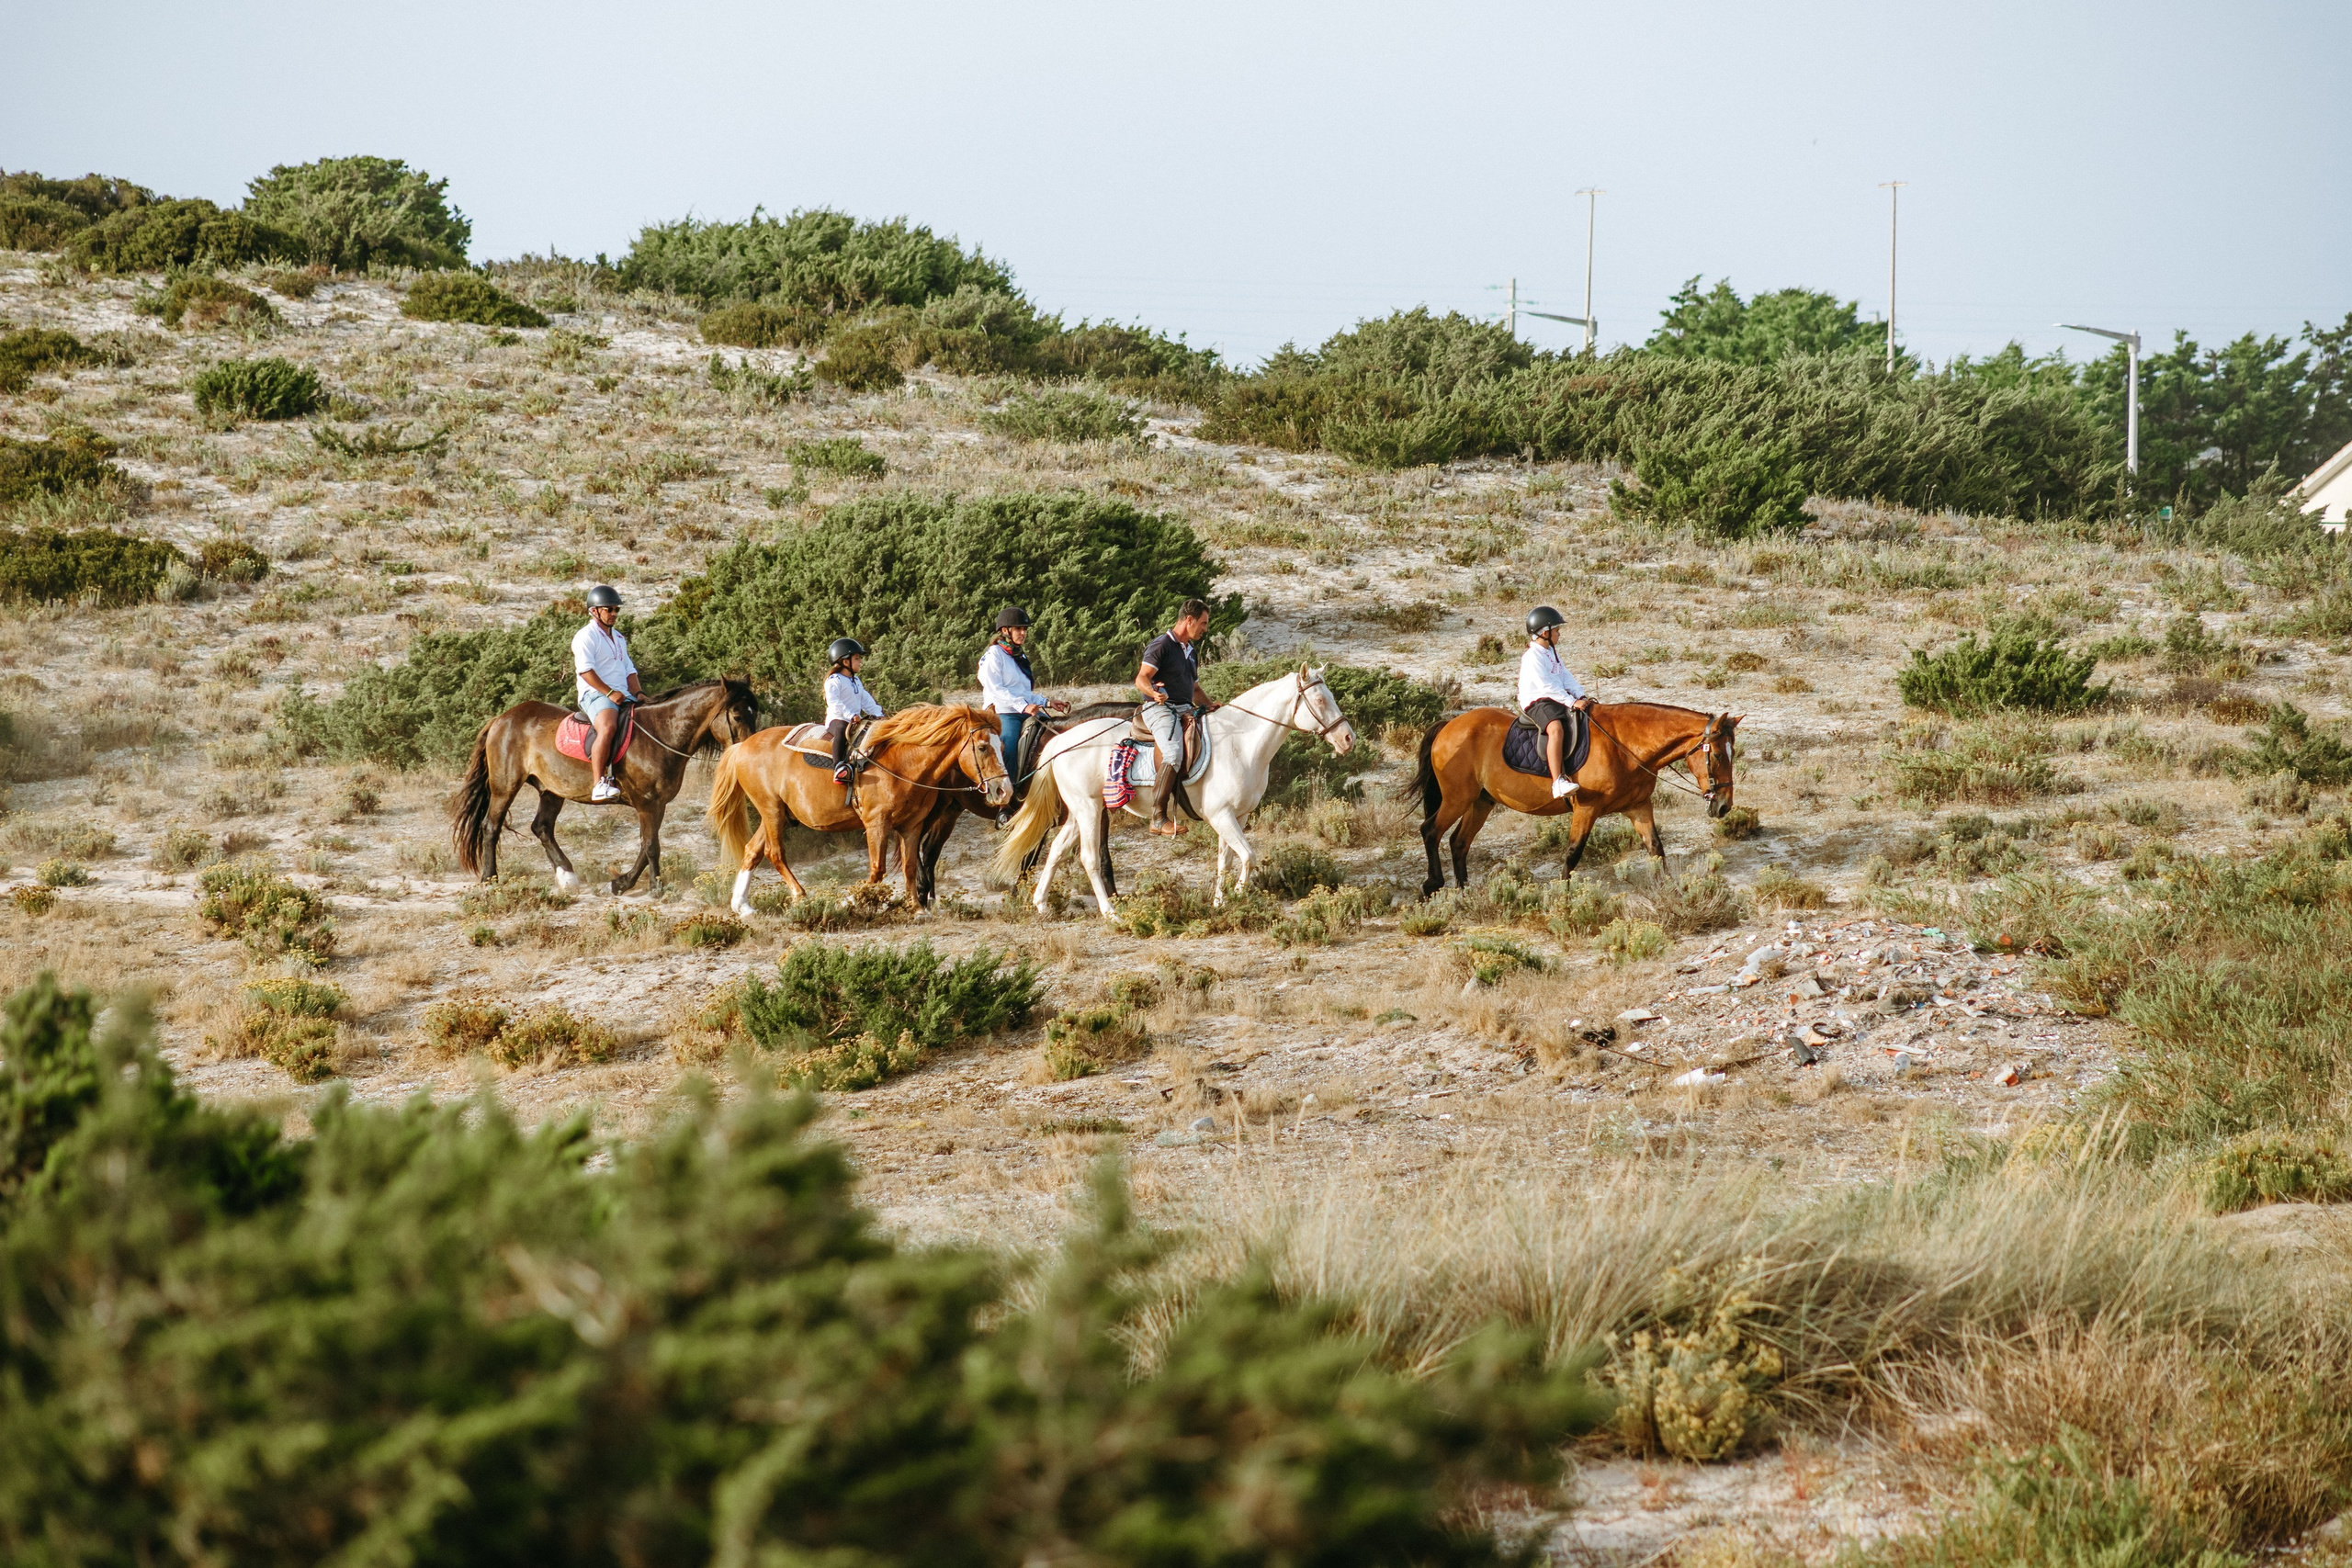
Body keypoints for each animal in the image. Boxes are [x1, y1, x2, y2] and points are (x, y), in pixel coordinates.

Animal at [450, 678, 761, 895]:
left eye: (754, 713)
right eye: (737, 715)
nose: (750, 752)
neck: (661, 733)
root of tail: (502, 718)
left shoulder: (657, 805)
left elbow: (646, 846)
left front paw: (621, 883)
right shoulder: (647, 803)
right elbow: (652, 846)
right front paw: (655, 887)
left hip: (551, 791)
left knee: (542, 827)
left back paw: (567, 876)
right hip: (505, 786)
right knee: (491, 827)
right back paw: (490, 879)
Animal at [707, 705, 1011, 911]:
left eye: (1002, 744)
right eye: (983, 747)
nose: (1004, 790)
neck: (901, 763)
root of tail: (742, 746)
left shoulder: (912, 825)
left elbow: (910, 866)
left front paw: (916, 908)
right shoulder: (876, 824)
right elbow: (877, 870)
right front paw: (850, 900)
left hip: (779, 814)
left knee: (752, 850)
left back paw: (743, 907)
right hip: (770, 810)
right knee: (774, 852)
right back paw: (800, 896)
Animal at [988, 667, 1355, 919]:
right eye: (1319, 700)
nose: (1348, 739)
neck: (1241, 742)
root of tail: (1060, 740)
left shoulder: (1236, 816)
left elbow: (1225, 860)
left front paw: (1220, 902)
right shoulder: (1222, 815)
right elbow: (1248, 856)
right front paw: (1238, 896)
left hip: (1081, 813)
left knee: (1056, 851)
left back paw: (1041, 904)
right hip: (1090, 810)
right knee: (1088, 858)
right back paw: (1110, 912)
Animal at [1402, 703, 1739, 897]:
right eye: (1718, 755)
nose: (1724, 805)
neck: (1624, 746)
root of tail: (1448, 726)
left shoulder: (1639, 807)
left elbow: (1656, 849)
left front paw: (1668, 889)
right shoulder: (1587, 809)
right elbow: (1573, 854)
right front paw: (1563, 898)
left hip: (1481, 801)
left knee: (1459, 842)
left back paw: (1464, 894)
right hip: (1457, 798)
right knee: (1430, 831)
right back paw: (1432, 885)